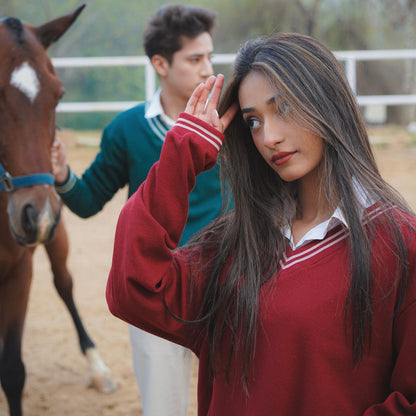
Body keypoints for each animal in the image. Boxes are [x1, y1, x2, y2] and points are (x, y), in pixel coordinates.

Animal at [0, 5, 115, 416]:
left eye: (59, 94)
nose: (38, 215)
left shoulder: (20, 272)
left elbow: (12, 371)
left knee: (64, 283)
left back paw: (98, 367)